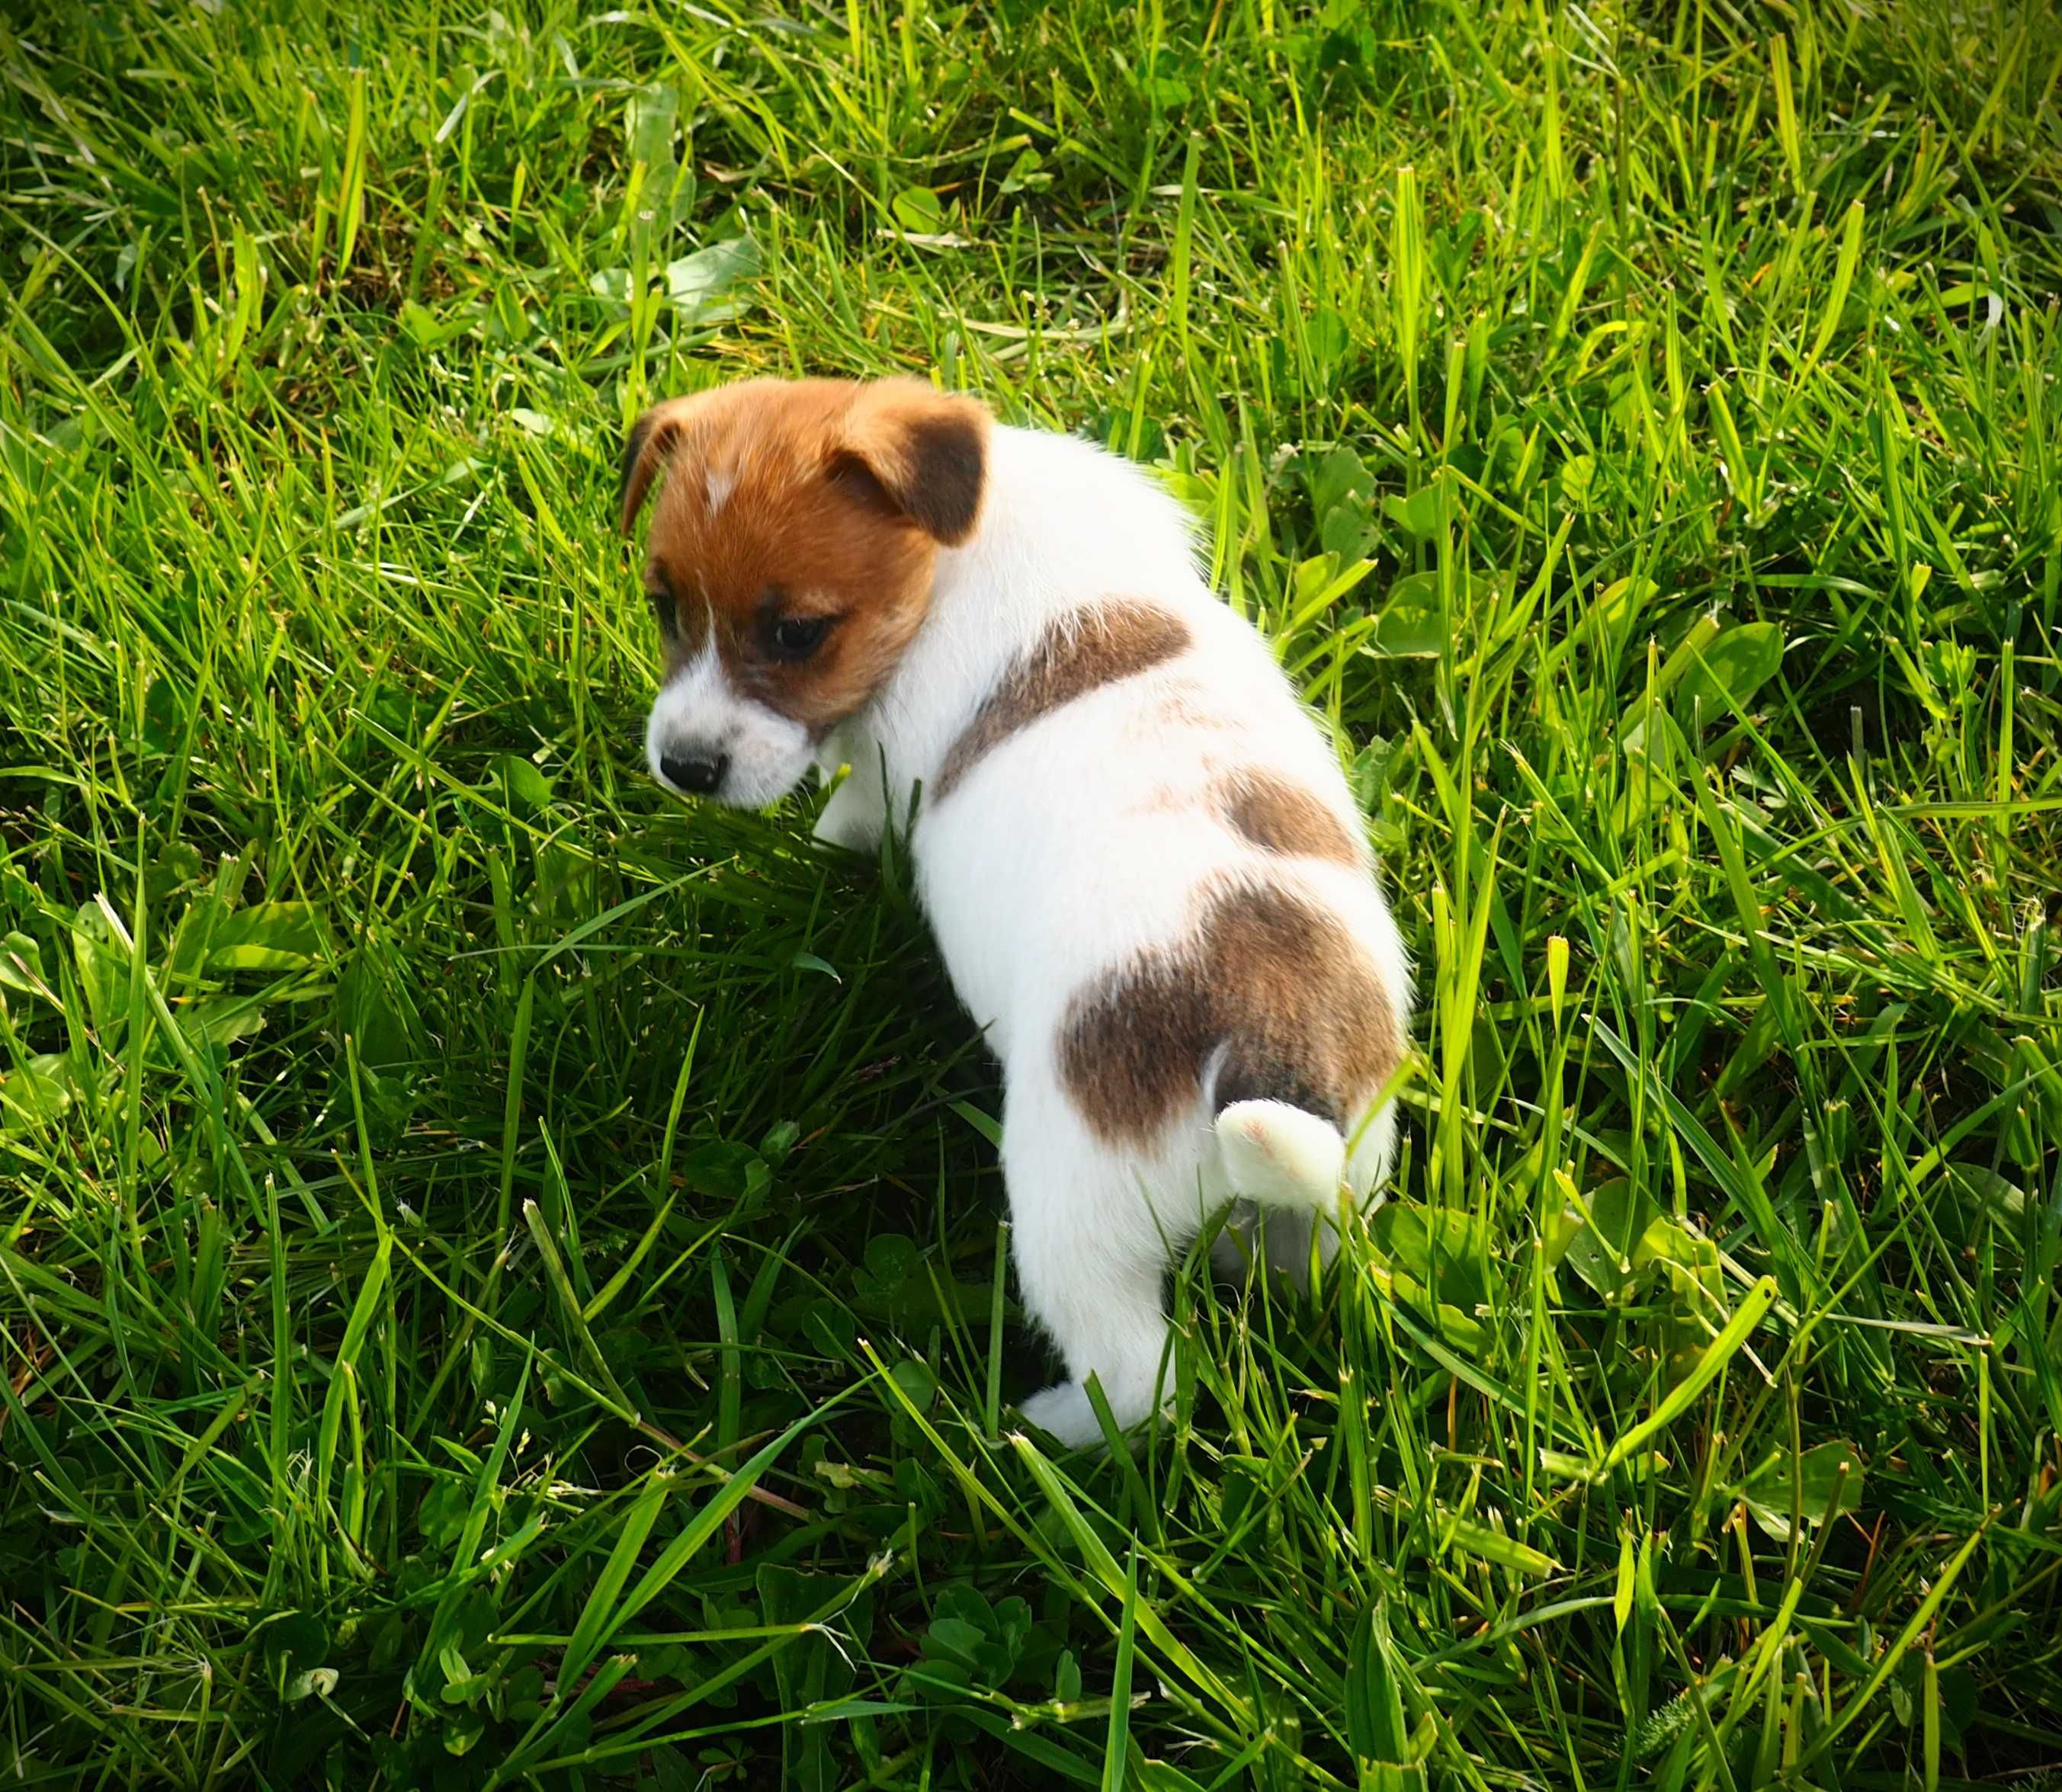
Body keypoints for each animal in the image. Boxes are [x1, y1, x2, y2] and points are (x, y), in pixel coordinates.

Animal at [618, 373, 1410, 1443]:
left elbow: (843, 819)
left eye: (796, 632)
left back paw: (1034, 1425)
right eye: (665, 607)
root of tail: (1263, 1046)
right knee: (1300, 1262)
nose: (685, 768)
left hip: (1071, 1210)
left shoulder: (877, 779)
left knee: (1141, 1378)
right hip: (1337, 1181)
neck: (965, 545)